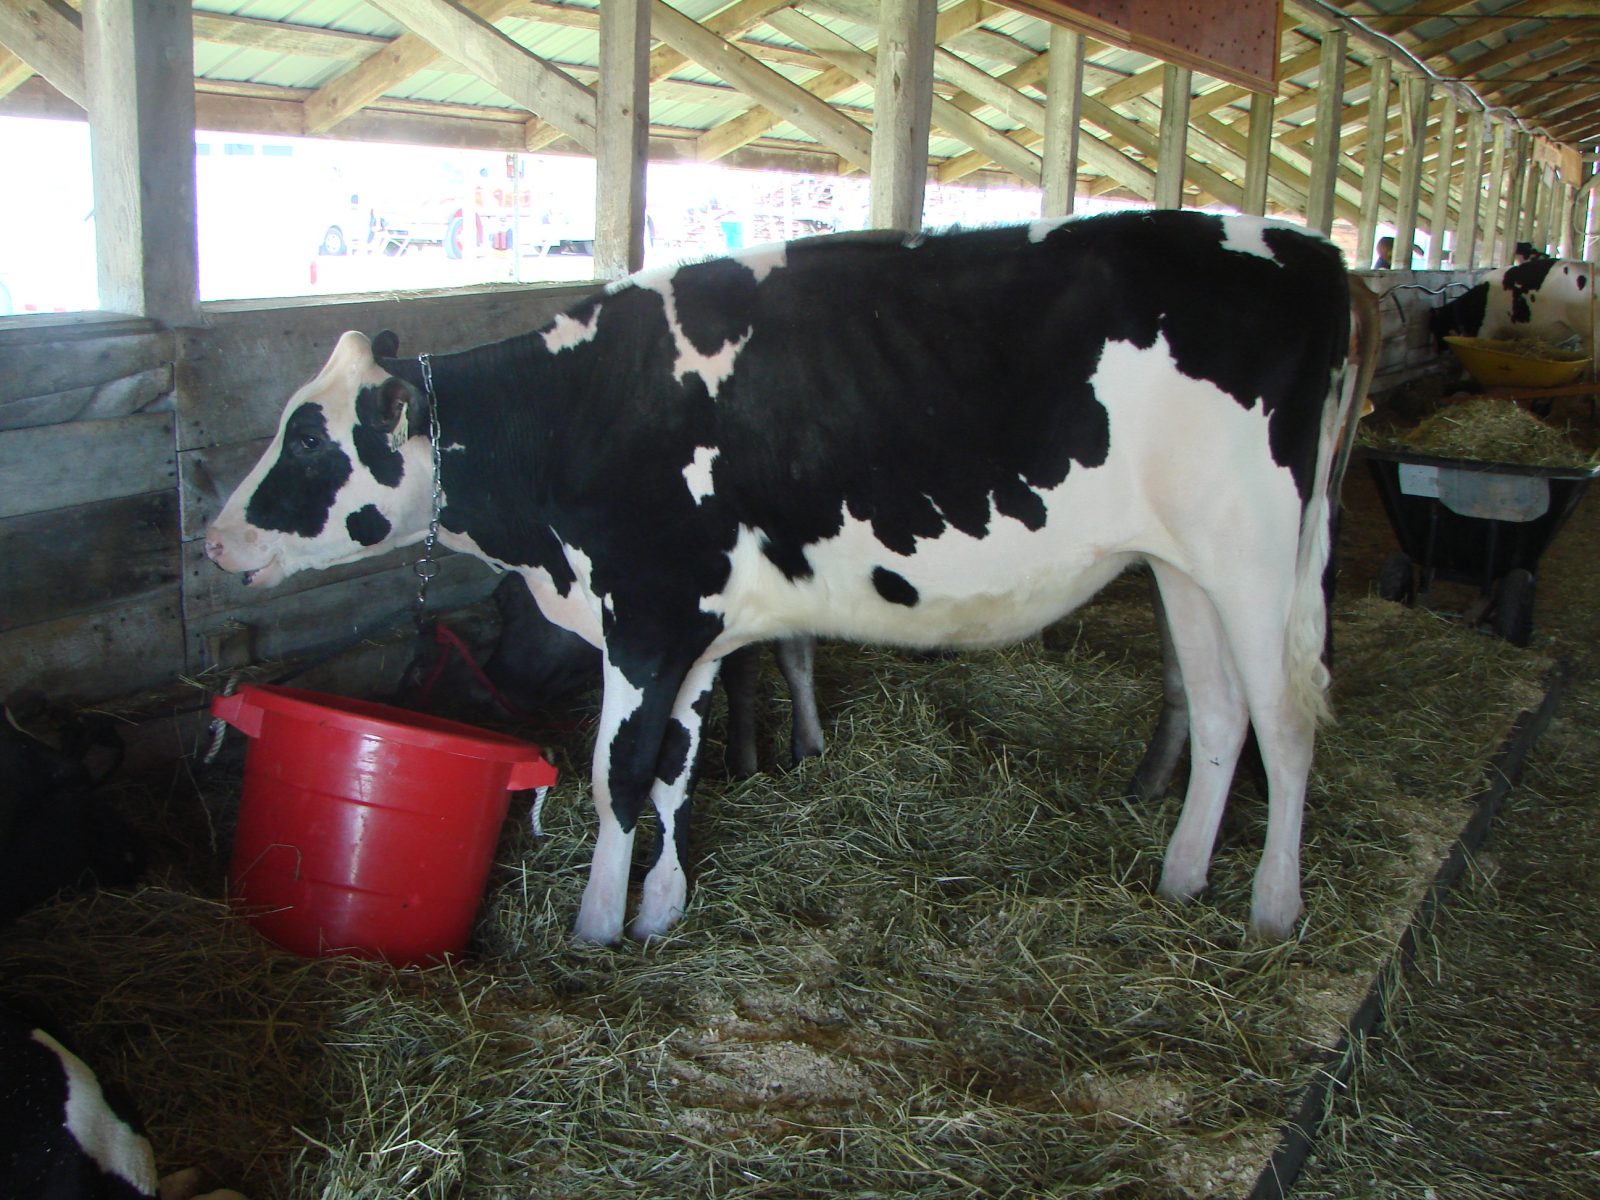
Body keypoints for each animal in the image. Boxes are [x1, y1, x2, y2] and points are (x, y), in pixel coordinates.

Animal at [206, 214, 1369, 947]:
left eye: (307, 441)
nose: (214, 540)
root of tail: (1309, 252)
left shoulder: (645, 614)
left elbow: (618, 775)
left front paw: (592, 929)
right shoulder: (696, 626)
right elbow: (674, 772)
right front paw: (660, 910)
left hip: (1257, 559)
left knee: (1285, 721)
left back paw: (1272, 909)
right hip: (1185, 567)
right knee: (1217, 713)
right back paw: (1180, 878)